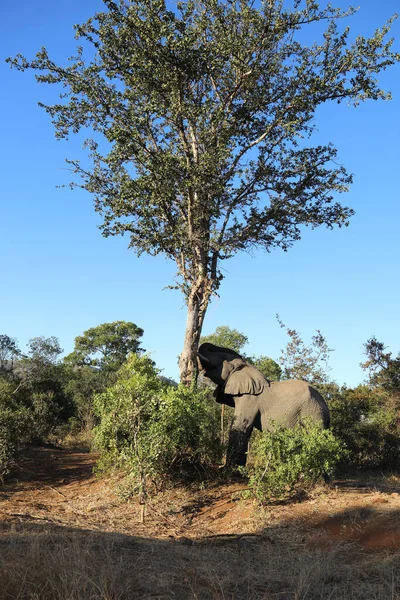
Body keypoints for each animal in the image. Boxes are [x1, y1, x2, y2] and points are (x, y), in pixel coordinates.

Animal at [197, 342, 332, 468]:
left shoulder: (249, 399)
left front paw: (229, 469)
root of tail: (326, 408)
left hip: (312, 414)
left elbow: (240, 427)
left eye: (221, 360)